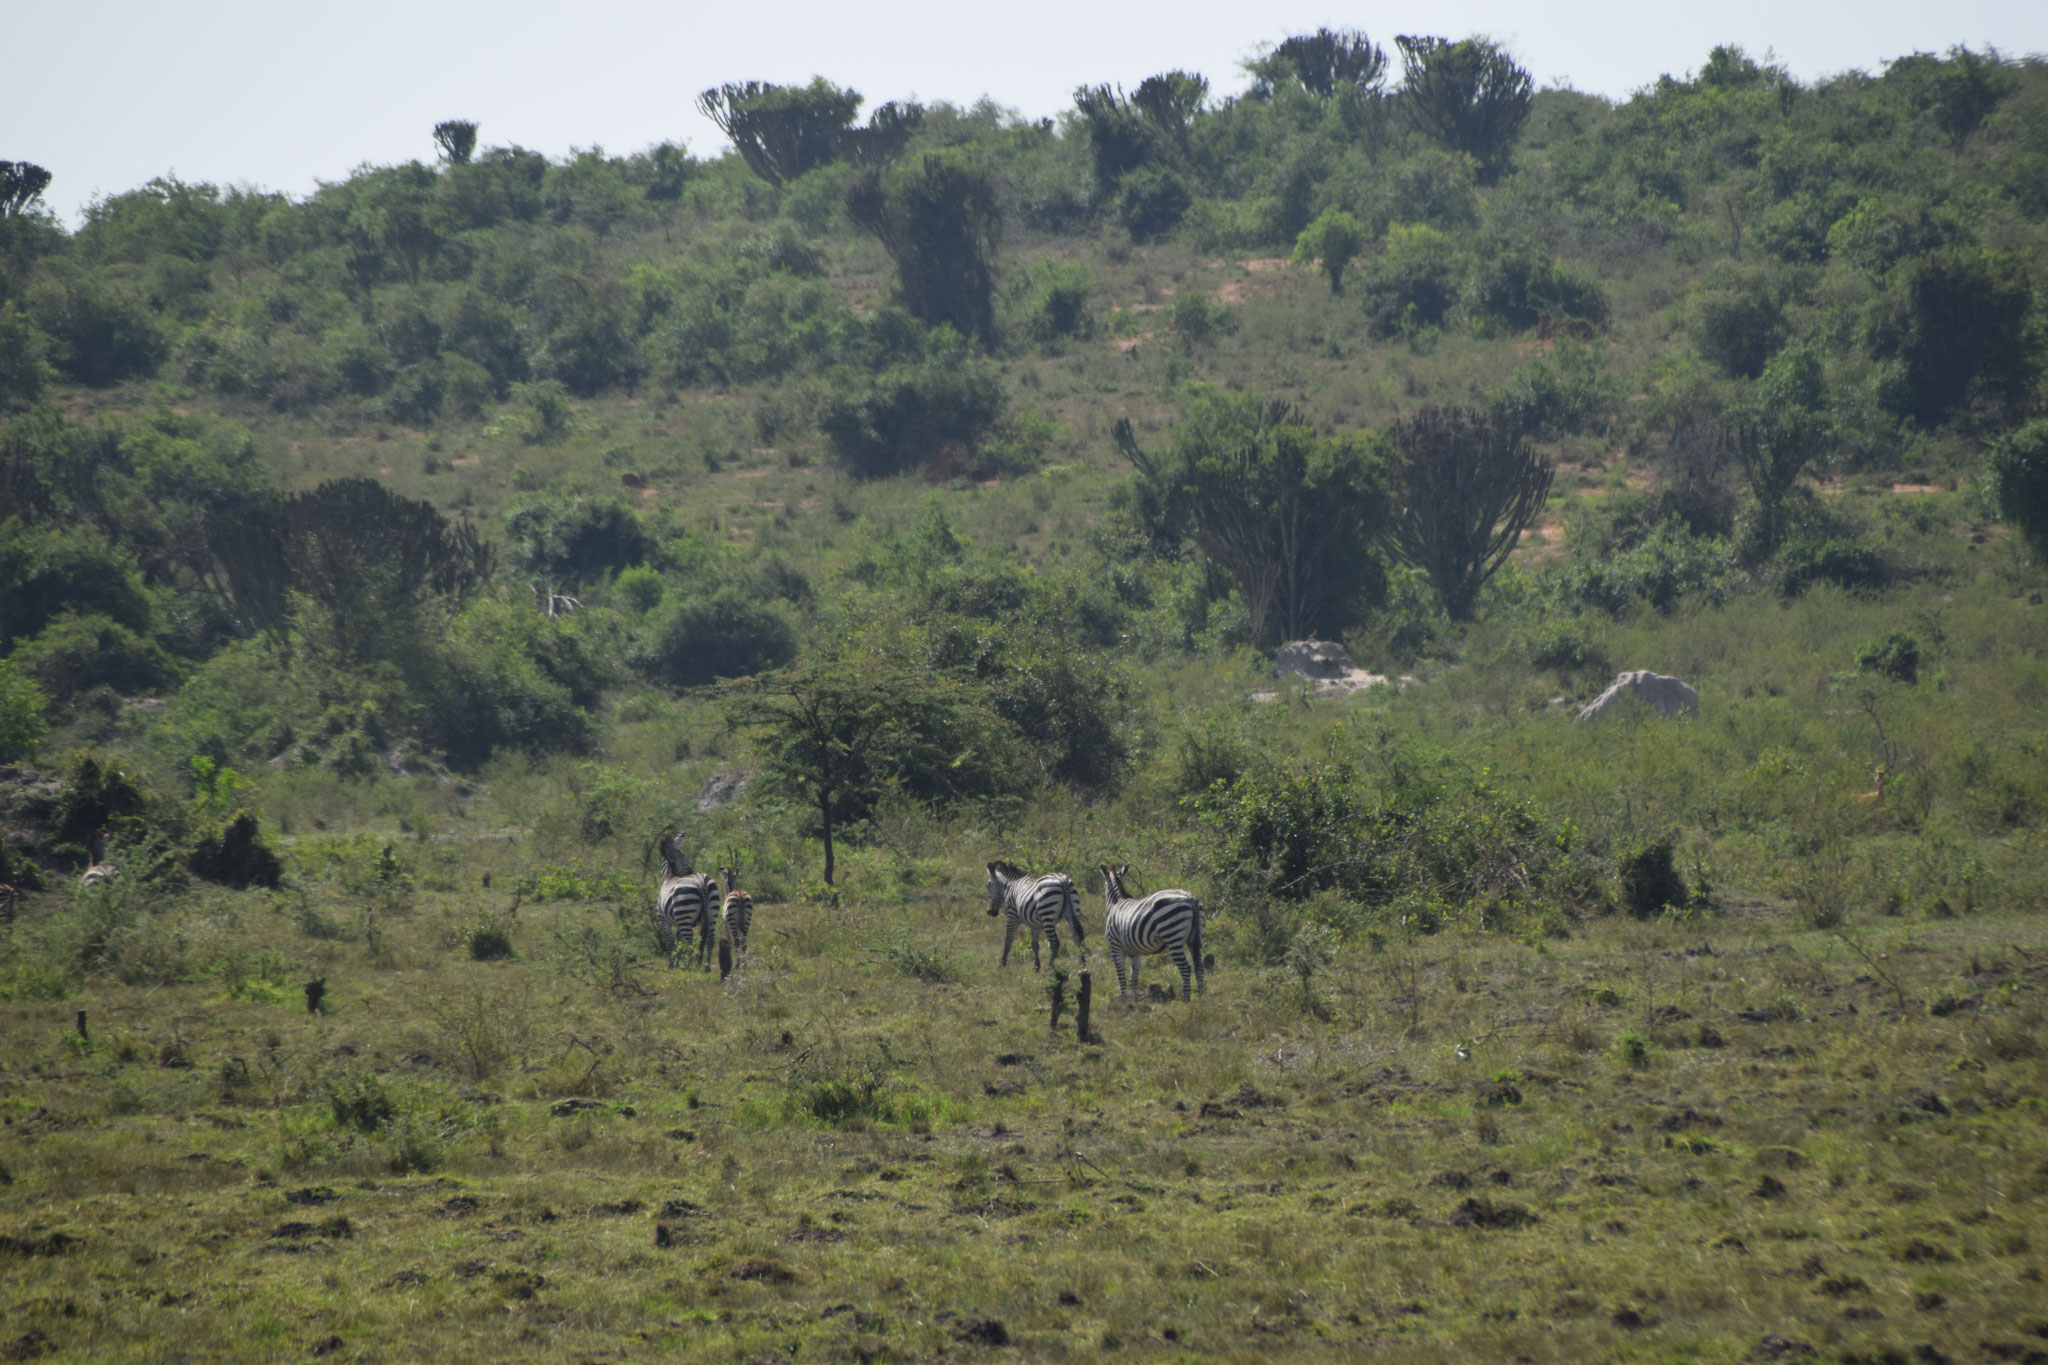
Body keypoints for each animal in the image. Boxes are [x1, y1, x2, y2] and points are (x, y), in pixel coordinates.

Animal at [659, 834, 724, 970]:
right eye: (683, 855)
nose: (689, 872)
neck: (669, 877)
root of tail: (701, 883)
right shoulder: (677, 923)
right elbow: (678, 941)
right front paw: (676, 962)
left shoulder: (662, 920)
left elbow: (669, 942)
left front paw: (671, 964)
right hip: (712, 911)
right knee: (710, 938)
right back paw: (705, 966)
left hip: (685, 913)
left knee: (690, 941)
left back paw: (688, 966)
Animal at [1105, 863, 1196, 1002]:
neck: (1116, 902)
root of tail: (1189, 897)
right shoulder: (1134, 952)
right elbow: (1133, 977)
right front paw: (1134, 1001)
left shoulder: (1115, 948)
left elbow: (1122, 977)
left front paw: (1123, 1001)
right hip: (1193, 937)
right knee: (1198, 966)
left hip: (1173, 935)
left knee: (1186, 968)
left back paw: (1186, 1000)